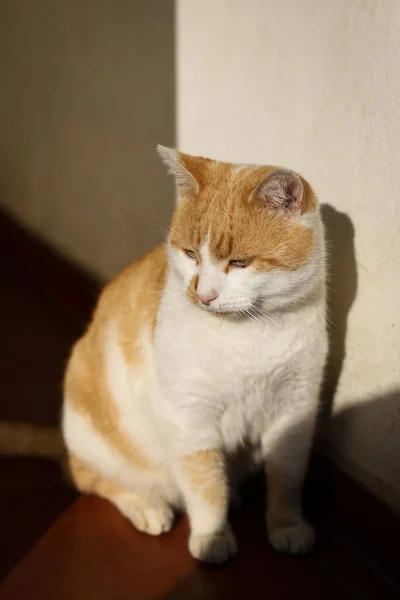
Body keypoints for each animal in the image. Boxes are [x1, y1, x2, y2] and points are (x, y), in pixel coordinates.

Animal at [0, 148, 328, 564]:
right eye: (190, 255)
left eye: (239, 262)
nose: (203, 294)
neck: (250, 332)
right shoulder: (189, 416)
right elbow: (205, 484)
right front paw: (212, 536)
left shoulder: (295, 406)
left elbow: (287, 475)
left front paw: (286, 525)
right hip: (95, 431)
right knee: (92, 479)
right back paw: (147, 506)